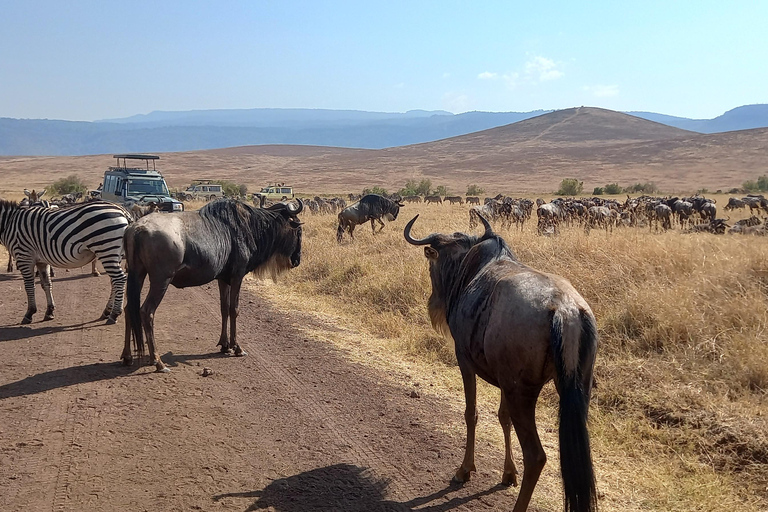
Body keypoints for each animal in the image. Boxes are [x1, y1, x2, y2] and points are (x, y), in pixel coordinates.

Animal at [0, 199, 131, 324]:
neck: (9, 222)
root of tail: (122, 210)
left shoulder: (24, 256)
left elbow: (29, 286)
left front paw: (29, 313)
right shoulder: (41, 261)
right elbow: (46, 284)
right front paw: (49, 311)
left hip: (106, 250)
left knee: (119, 279)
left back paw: (114, 314)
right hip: (115, 254)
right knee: (113, 281)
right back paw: (106, 311)